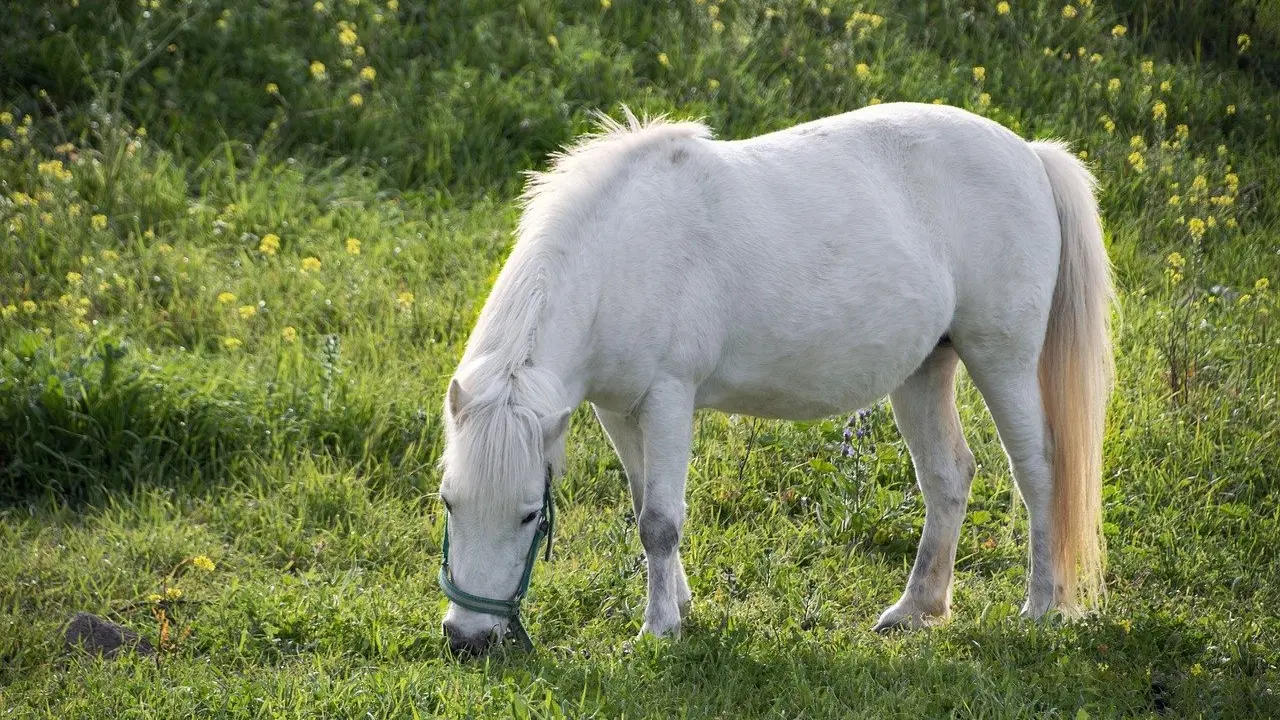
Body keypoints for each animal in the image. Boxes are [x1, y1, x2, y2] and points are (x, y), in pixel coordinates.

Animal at [437, 103, 1111, 653]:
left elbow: (660, 521)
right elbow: (642, 506)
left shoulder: (668, 399)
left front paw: (659, 629)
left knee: (1039, 471)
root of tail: (1031, 154)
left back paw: (1040, 607)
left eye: (530, 516)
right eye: (448, 501)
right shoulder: (616, 409)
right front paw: (678, 604)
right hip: (924, 369)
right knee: (948, 477)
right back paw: (915, 610)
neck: (620, 255)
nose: (468, 640)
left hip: (1002, 360)